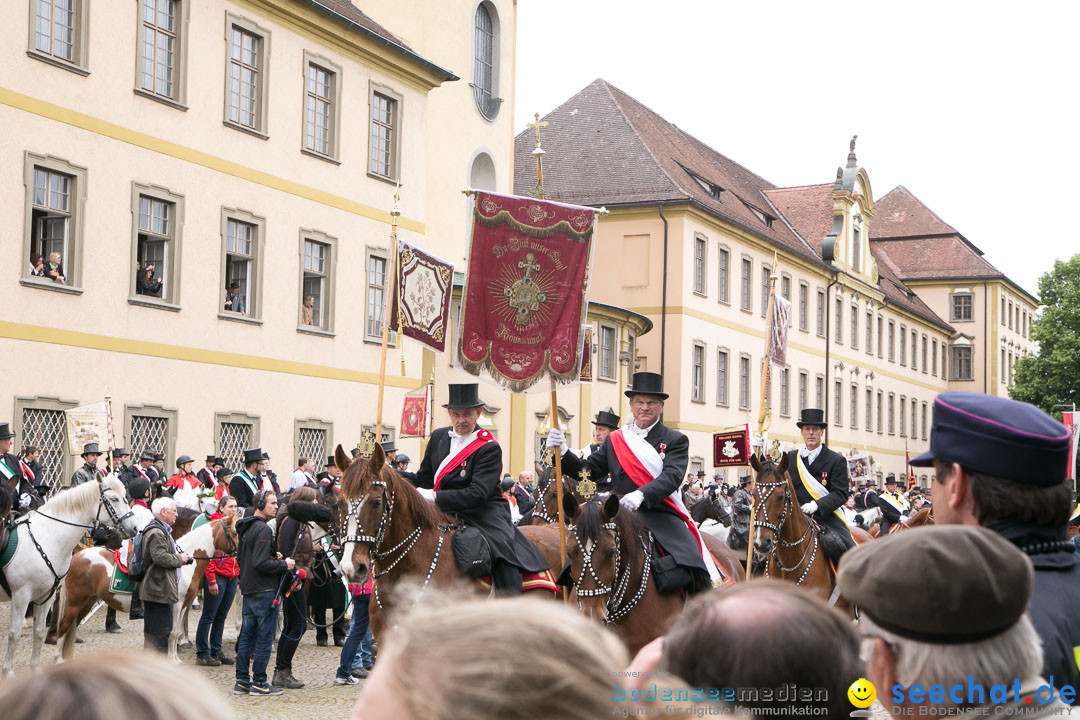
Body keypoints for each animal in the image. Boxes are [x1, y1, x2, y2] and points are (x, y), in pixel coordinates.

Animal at [0, 479, 135, 677]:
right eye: (114, 498)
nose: (134, 528)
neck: (46, 537)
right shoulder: (21, 595)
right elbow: (14, 633)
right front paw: (8, 672)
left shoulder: (45, 596)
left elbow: (39, 632)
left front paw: (36, 670)